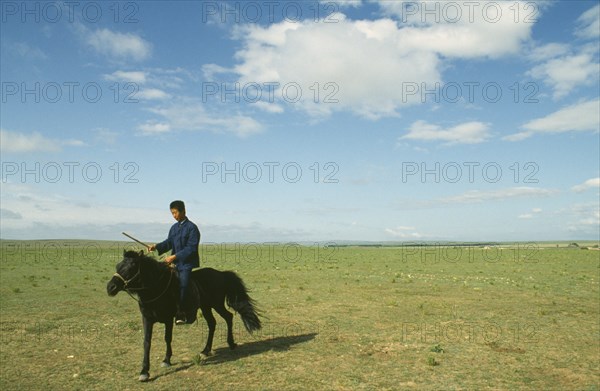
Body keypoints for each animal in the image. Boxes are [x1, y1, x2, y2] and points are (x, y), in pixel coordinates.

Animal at [106, 251, 262, 382]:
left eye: (131, 267)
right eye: (118, 265)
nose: (110, 288)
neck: (157, 287)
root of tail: (221, 274)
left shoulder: (168, 319)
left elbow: (167, 338)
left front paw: (166, 360)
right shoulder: (147, 319)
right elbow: (146, 342)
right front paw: (144, 371)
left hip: (216, 304)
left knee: (228, 317)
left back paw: (231, 343)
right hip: (206, 307)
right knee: (212, 323)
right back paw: (205, 350)